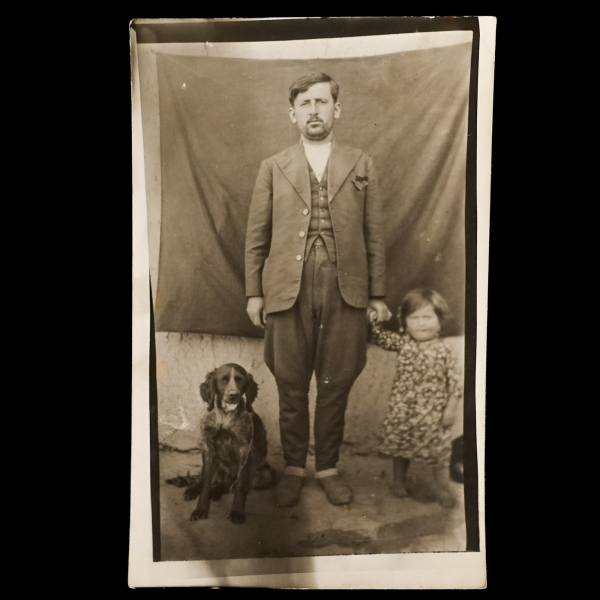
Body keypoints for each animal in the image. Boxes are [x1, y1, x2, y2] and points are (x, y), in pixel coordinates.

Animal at [167, 363, 274, 524]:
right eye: (223, 380)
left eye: (240, 380)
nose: (233, 395)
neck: (225, 417)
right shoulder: (208, 449)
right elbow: (205, 483)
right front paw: (200, 509)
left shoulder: (244, 452)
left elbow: (240, 486)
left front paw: (237, 511)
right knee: (207, 479)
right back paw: (194, 489)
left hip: (265, 474)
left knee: (227, 485)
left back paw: (216, 492)